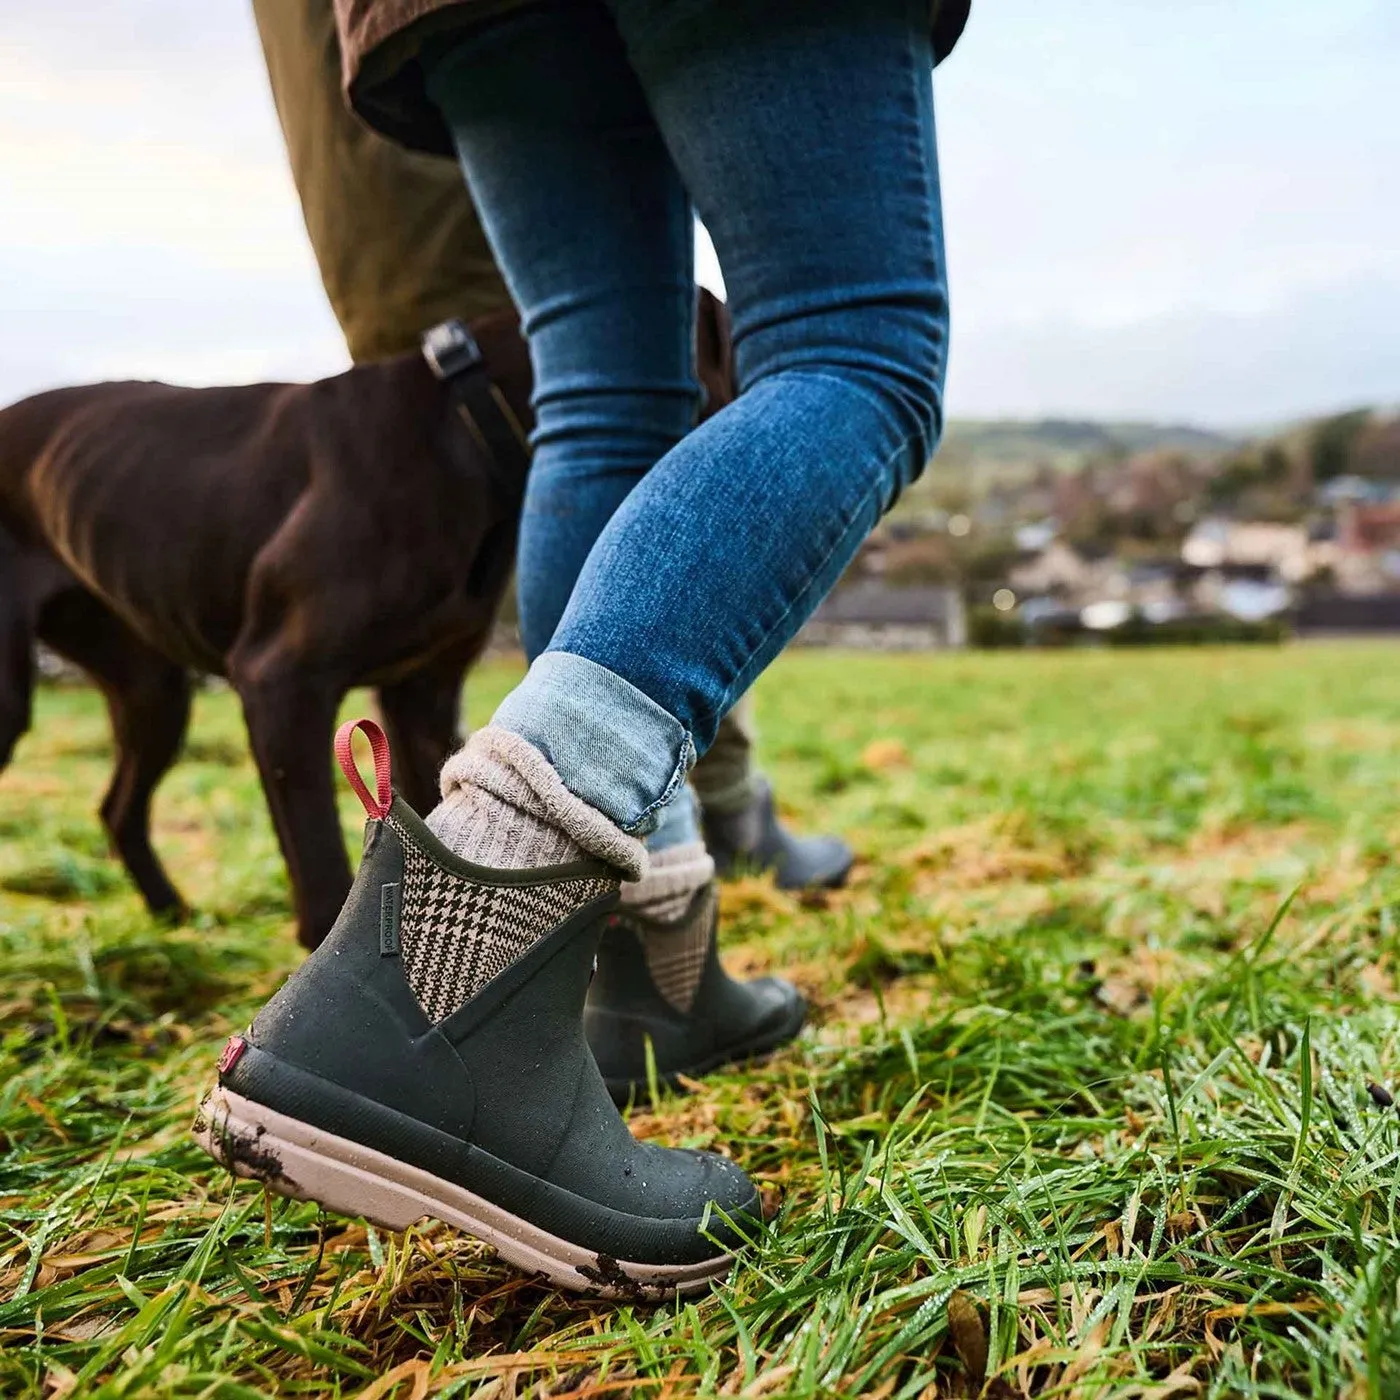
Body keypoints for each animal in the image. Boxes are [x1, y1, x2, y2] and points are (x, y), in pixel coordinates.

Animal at [0, 295, 739, 952]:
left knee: (118, 806)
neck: (464, 424)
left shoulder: (421, 694)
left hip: (152, 693)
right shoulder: (282, 683)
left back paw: (171, 914)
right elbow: (320, 857)